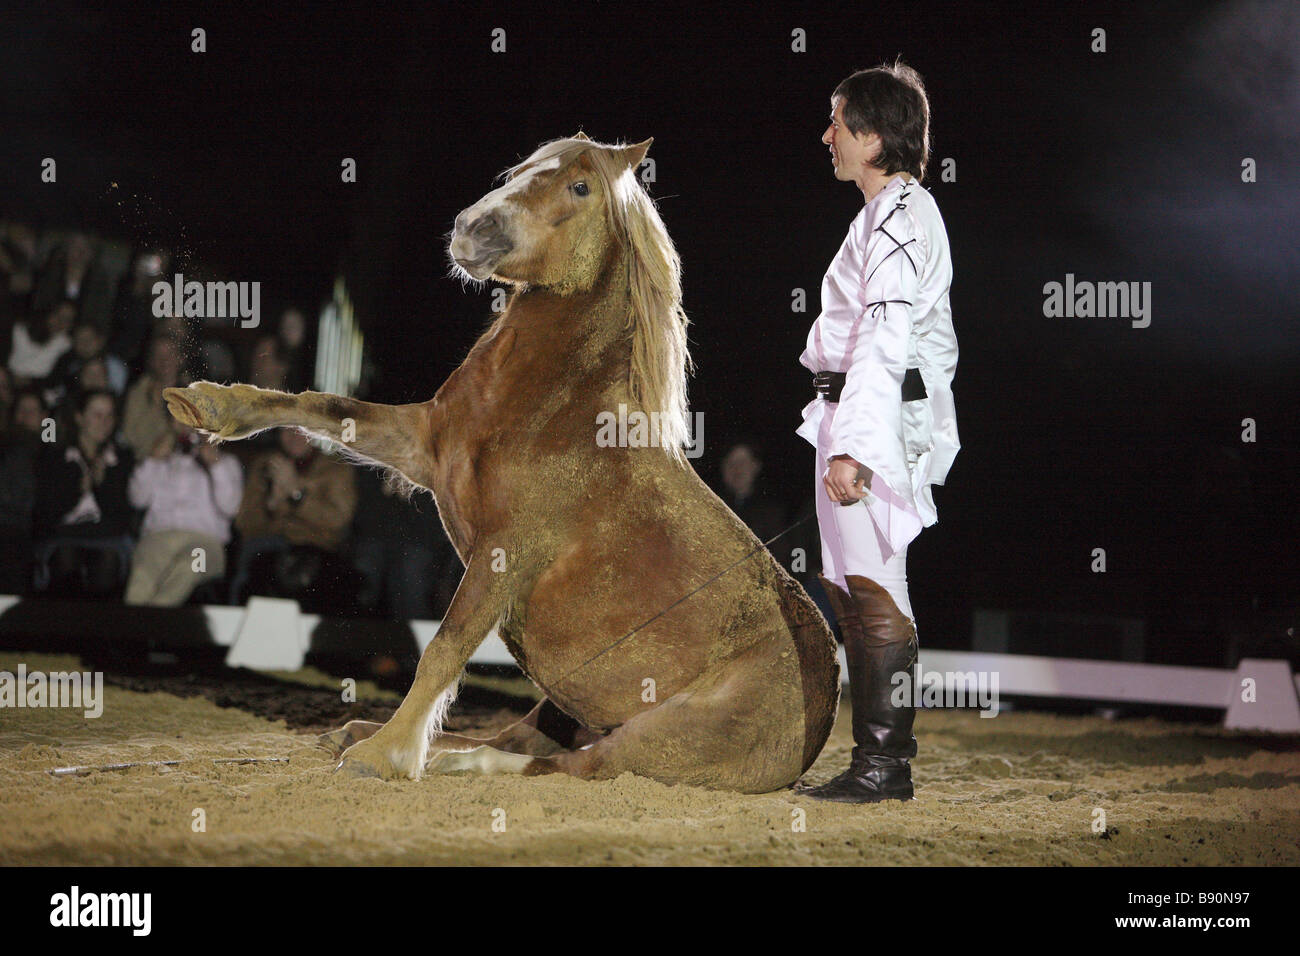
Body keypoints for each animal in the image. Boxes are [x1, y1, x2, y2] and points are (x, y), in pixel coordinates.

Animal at [163, 132, 840, 793]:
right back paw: (365, 733)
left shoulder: (503, 551)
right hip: (566, 704)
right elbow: (322, 406)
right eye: (518, 170)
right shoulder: (426, 448)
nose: (473, 229)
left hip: (661, 737)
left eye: (580, 185)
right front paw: (210, 404)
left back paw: (437, 760)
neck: (555, 409)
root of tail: (825, 692)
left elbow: (445, 647)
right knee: (526, 737)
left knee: (580, 763)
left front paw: (386, 757)